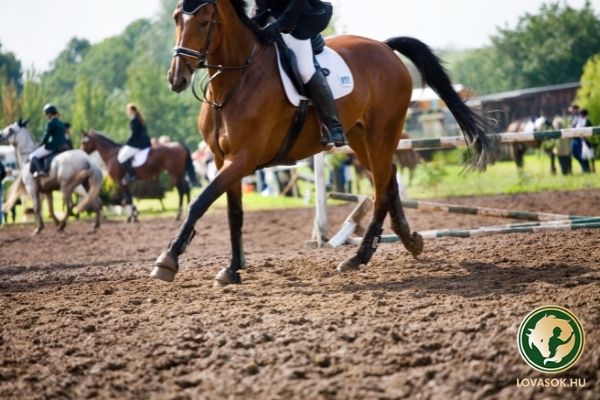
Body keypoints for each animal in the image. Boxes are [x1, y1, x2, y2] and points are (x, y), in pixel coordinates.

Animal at [150, 0, 492, 288]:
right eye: (177, 18)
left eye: (205, 22)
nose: (176, 79)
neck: (235, 81)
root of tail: (384, 47)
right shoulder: (224, 160)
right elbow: (234, 213)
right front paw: (233, 269)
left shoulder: (242, 159)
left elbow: (199, 202)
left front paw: (167, 260)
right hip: (360, 137)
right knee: (389, 179)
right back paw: (408, 241)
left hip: (382, 133)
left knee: (382, 189)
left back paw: (358, 257)